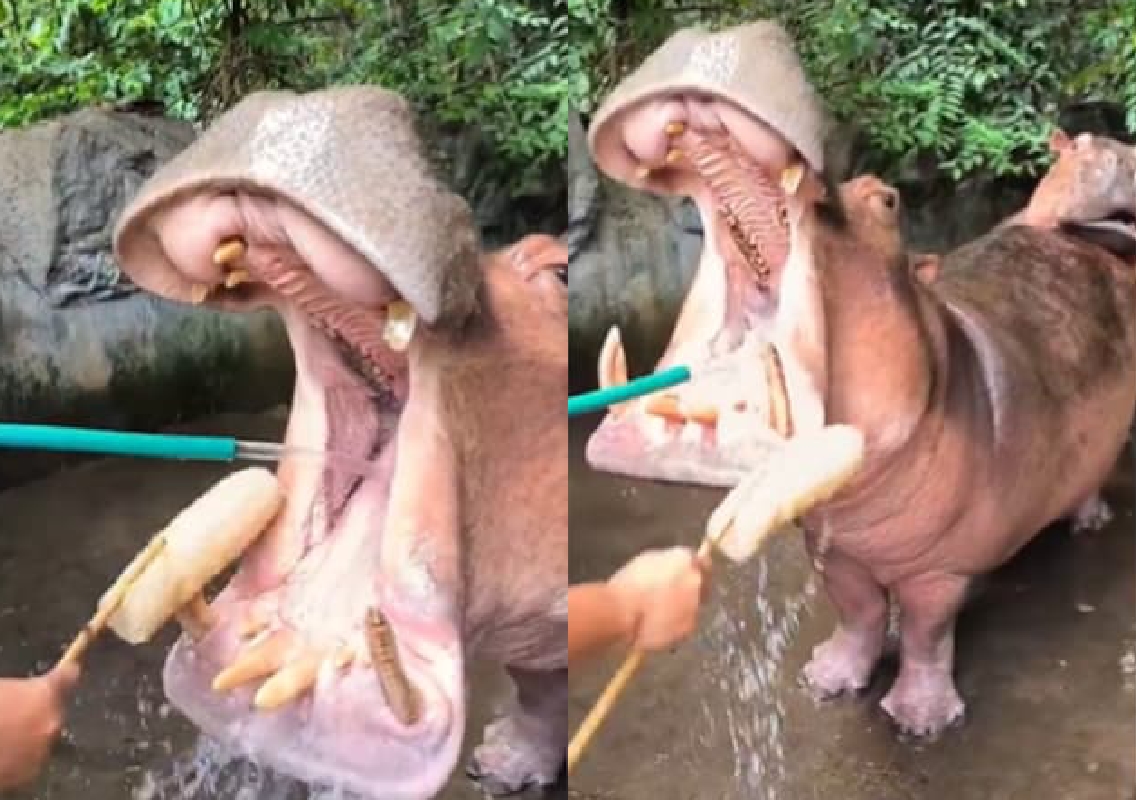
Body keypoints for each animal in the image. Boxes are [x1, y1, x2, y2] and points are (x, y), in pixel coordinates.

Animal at [581, 21, 1136, 738]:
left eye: (888, 198)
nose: (727, 32)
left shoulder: (940, 569)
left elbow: (926, 633)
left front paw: (920, 721)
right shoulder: (835, 552)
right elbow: (860, 612)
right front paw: (826, 679)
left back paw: (1088, 523)